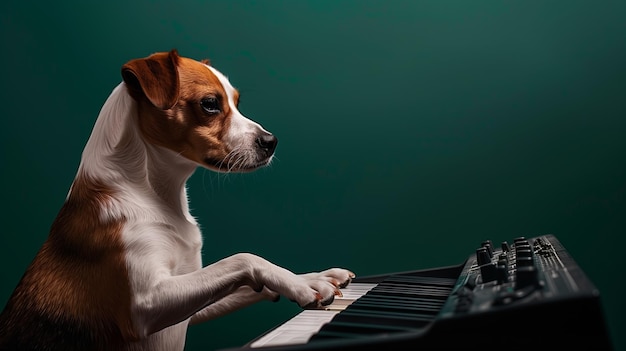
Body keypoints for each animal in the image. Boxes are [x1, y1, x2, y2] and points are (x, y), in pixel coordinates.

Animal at [0, 50, 354, 351]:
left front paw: (309, 277)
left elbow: (242, 279)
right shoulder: (145, 306)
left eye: (237, 102)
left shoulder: (188, 301)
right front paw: (304, 285)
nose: (271, 141)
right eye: (210, 103)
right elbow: (242, 259)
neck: (157, 197)